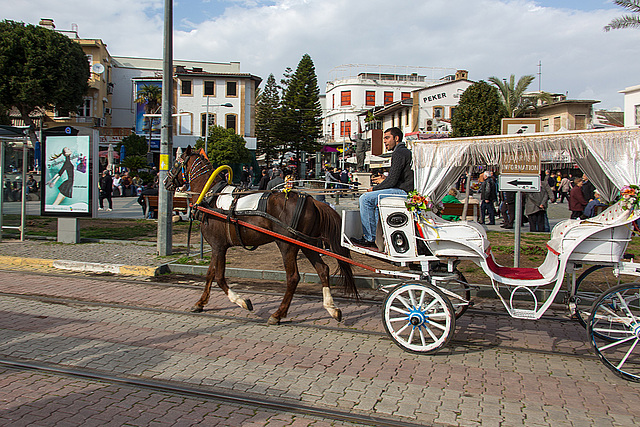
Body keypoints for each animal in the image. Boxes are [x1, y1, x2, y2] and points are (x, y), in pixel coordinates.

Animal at [165, 147, 358, 324]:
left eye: (175, 163)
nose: (166, 181)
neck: (210, 197)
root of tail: (312, 200)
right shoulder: (216, 247)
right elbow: (210, 274)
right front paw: (200, 303)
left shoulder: (219, 247)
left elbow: (219, 277)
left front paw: (243, 301)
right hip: (306, 243)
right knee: (323, 270)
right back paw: (331, 308)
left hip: (287, 245)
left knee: (293, 277)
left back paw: (278, 314)